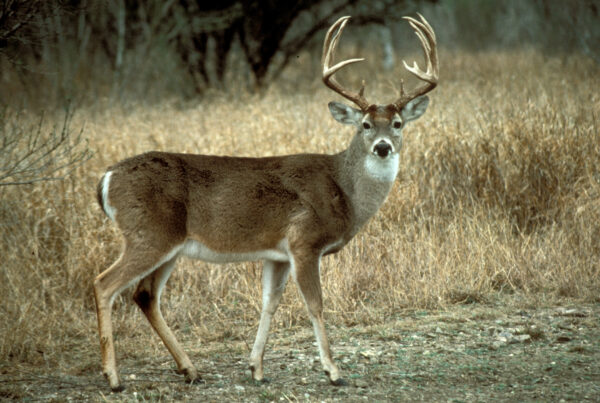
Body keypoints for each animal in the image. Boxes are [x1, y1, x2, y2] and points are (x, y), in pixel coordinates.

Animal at [94, 14, 438, 392]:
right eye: (364, 124)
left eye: (397, 123)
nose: (382, 147)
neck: (343, 189)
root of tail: (107, 178)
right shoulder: (304, 242)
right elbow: (315, 304)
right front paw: (333, 371)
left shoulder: (278, 254)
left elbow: (270, 303)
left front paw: (256, 367)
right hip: (148, 234)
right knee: (104, 284)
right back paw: (114, 378)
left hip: (169, 244)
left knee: (145, 295)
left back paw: (191, 370)